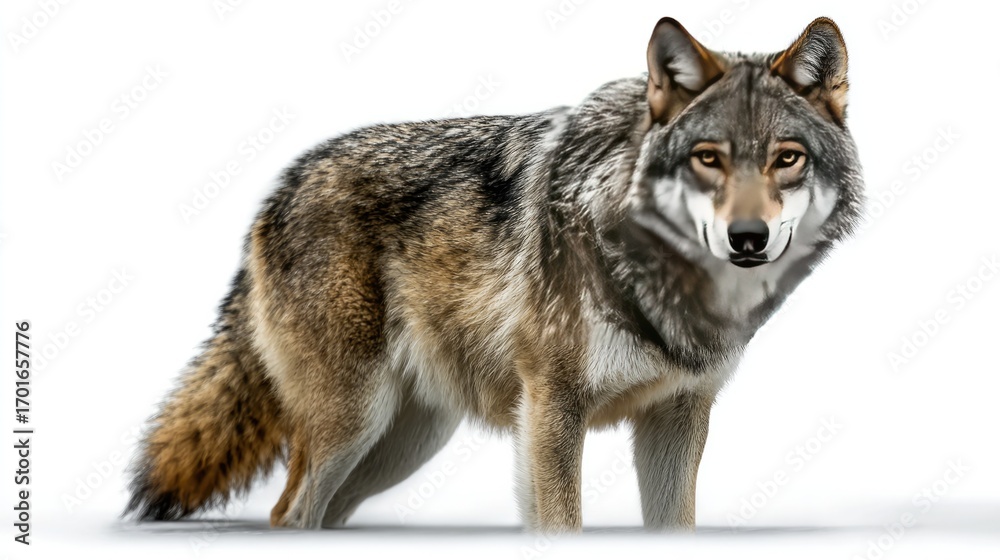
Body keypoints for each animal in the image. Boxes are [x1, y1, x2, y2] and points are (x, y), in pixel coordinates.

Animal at [125, 17, 863, 532]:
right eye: (709, 158)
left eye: (787, 158)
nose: (748, 239)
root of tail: (281, 182)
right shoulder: (552, 408)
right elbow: (561, 525)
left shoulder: (677, 416)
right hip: (354, 423)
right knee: (289, 513)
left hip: (405, 443)